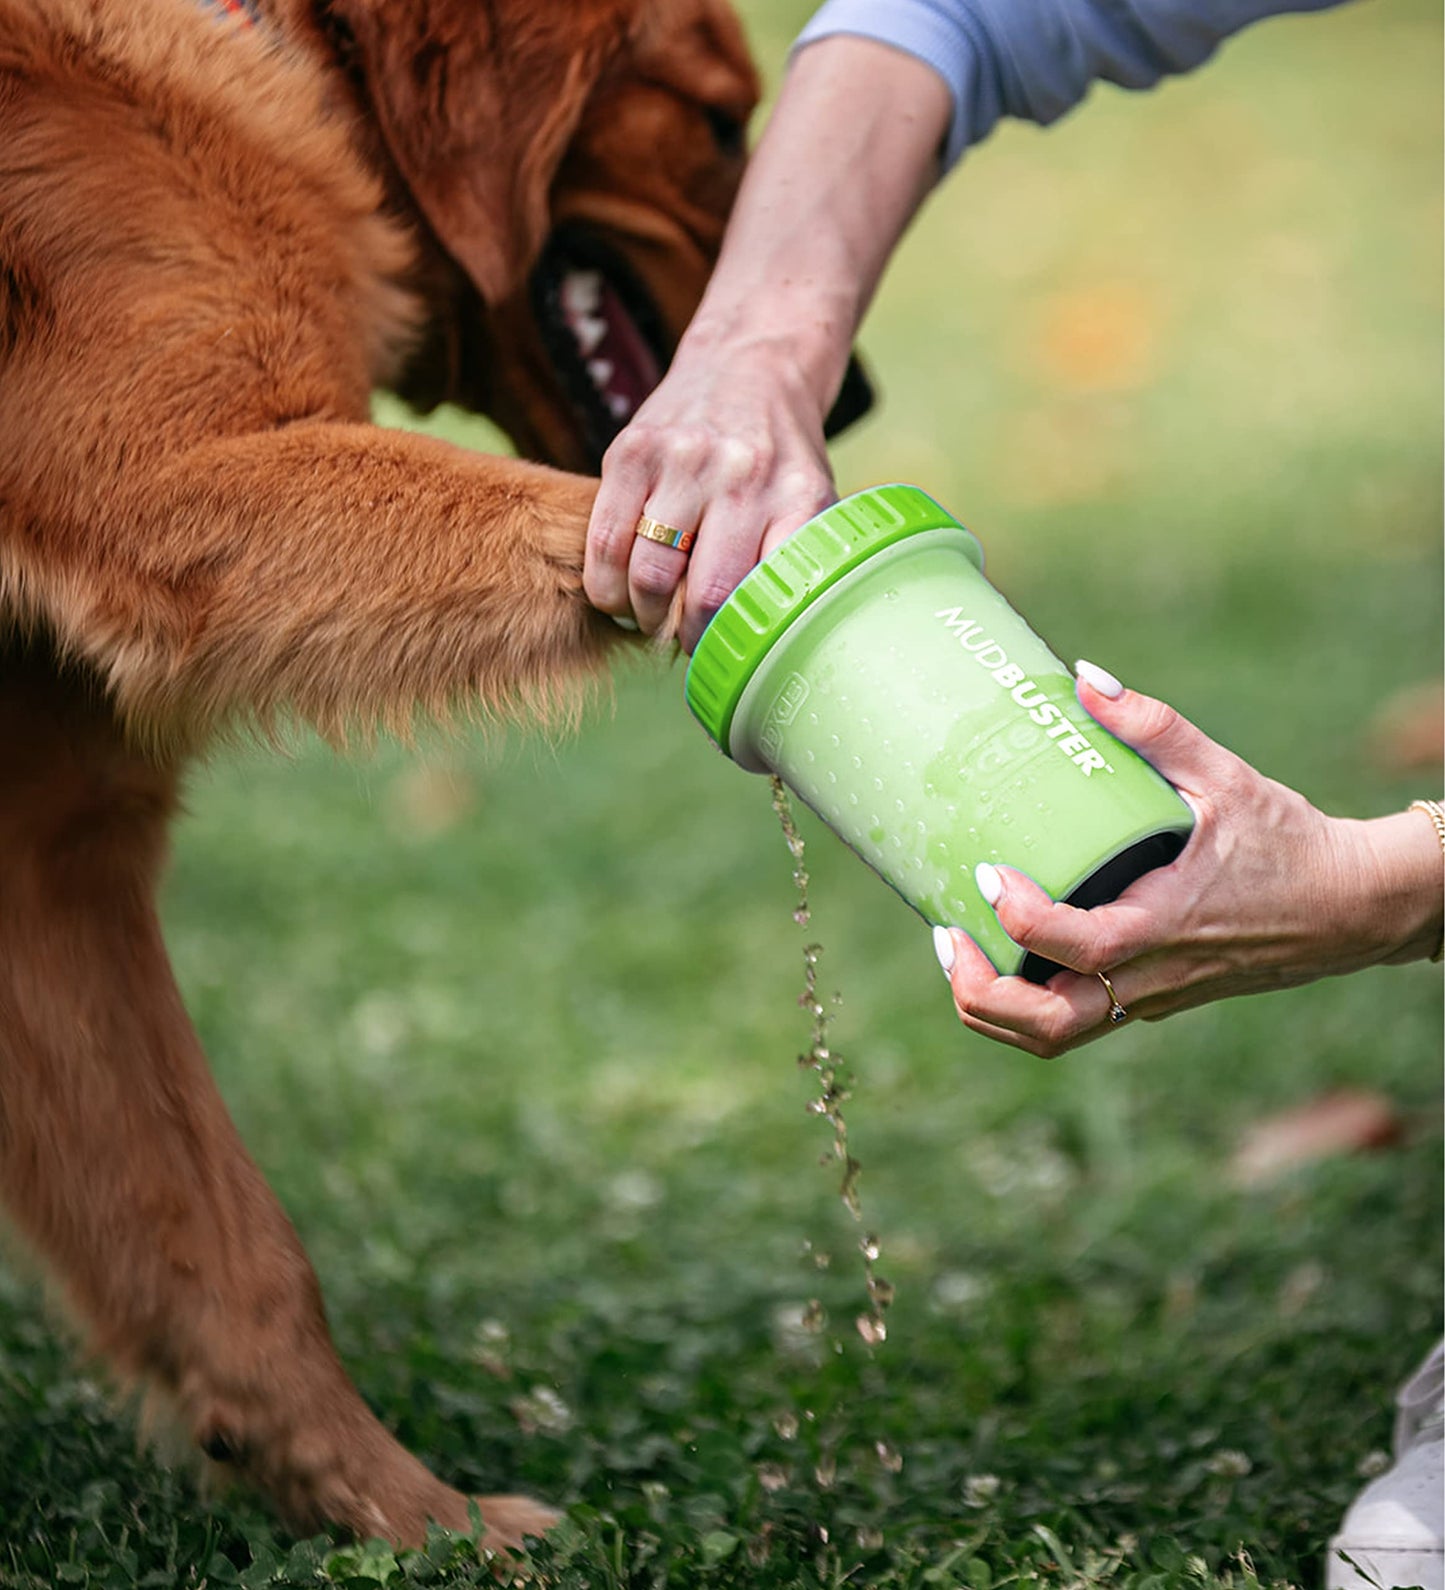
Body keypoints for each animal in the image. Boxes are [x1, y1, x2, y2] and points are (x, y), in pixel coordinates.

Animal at [0, 0, 788, 1551]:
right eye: (719, 124)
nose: (855, 387)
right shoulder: (164, 479)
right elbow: (575, 520)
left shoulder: (47, 848)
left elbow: (221, 1243)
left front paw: (388, 1510)